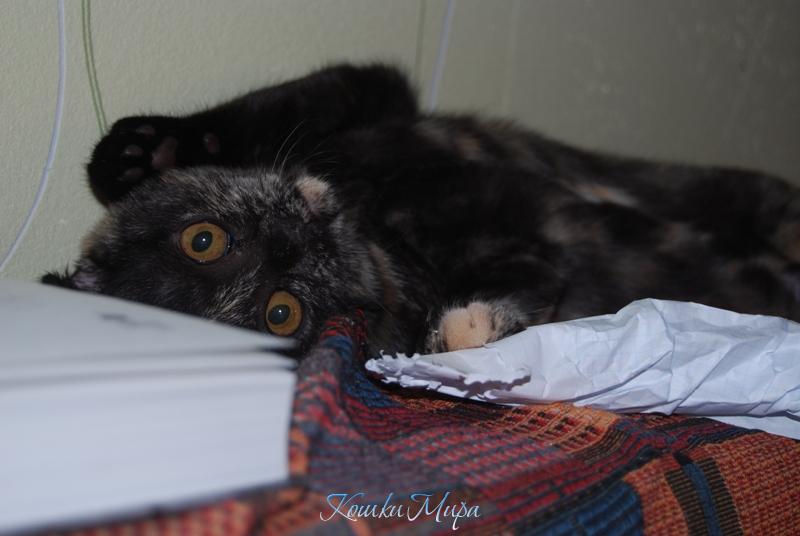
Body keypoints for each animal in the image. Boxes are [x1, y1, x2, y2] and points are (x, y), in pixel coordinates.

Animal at [44, 63, 800, 357]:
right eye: (282, 312)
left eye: (202, 240)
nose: (292, 239)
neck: (375, 212)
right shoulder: (527, 254)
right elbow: (526, 283)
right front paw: (468, 326)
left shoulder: (378, 92)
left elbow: (281, 101)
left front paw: (139, 149)